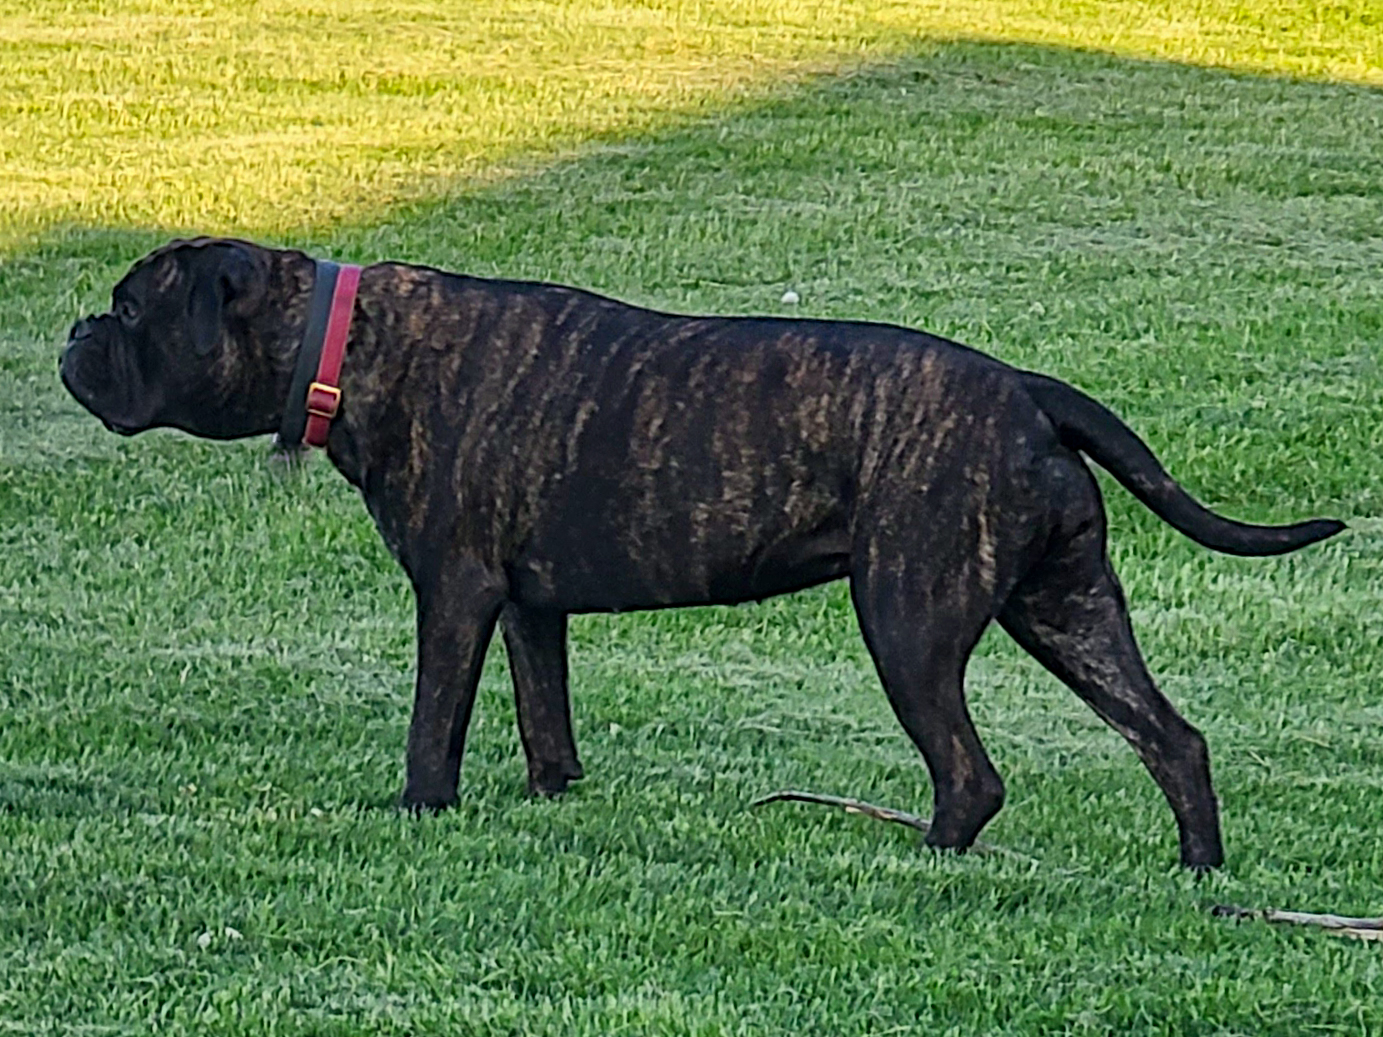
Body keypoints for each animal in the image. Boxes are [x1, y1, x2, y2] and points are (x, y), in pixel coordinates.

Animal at [59, 241, 1344, 868]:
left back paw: (922, 863)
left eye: (130, 308)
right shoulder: (529, 609)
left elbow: (435, 722)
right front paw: (554, 800)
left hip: (910, 617)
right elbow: (546, 720)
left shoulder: (457, 594)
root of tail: (1027, 389)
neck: (347, 343)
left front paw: (419, 813)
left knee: (972, 772)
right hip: (1069, 608)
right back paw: (1199, 873)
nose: (72, 332)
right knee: (1173, 736)